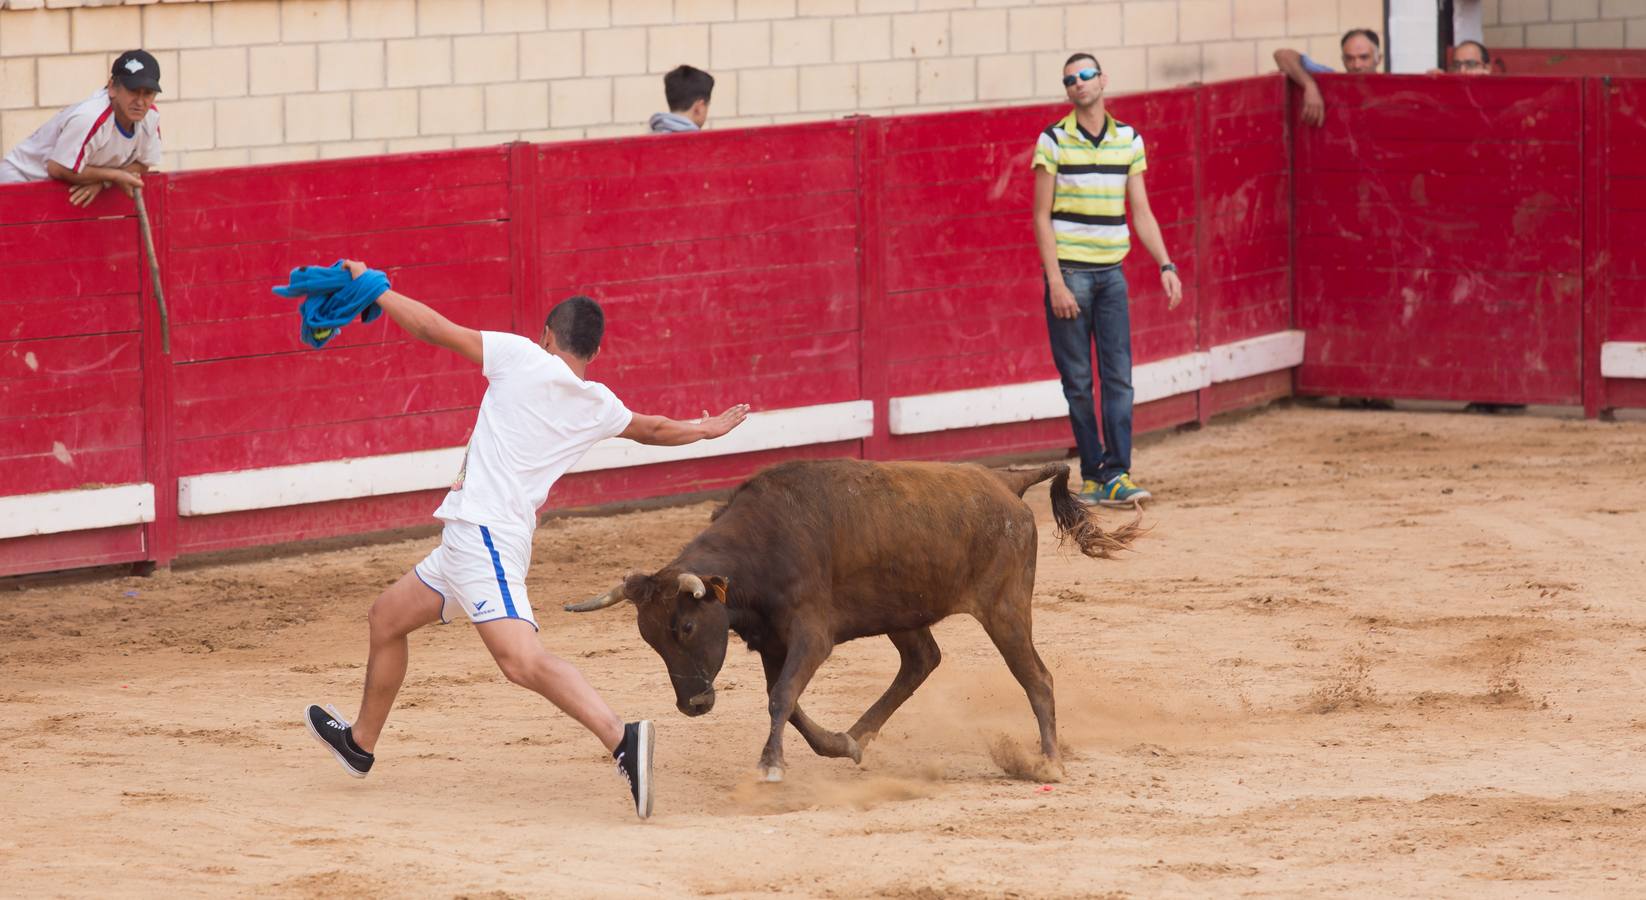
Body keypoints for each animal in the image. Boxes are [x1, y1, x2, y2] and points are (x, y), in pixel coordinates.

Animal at [559, 457, 1139, 783]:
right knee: (922, 661)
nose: (694, 704)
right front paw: (835, 744)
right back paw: (858, 736)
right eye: (649, 640)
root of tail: (1005, 482)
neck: (763, 547)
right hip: (905, 611)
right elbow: (787, 702)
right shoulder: (772, 643)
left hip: (1005, 608)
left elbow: (782, 697)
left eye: (684, 627)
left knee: (1036, 678)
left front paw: (771, 766)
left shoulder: (812, 636)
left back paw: (1049, 764)